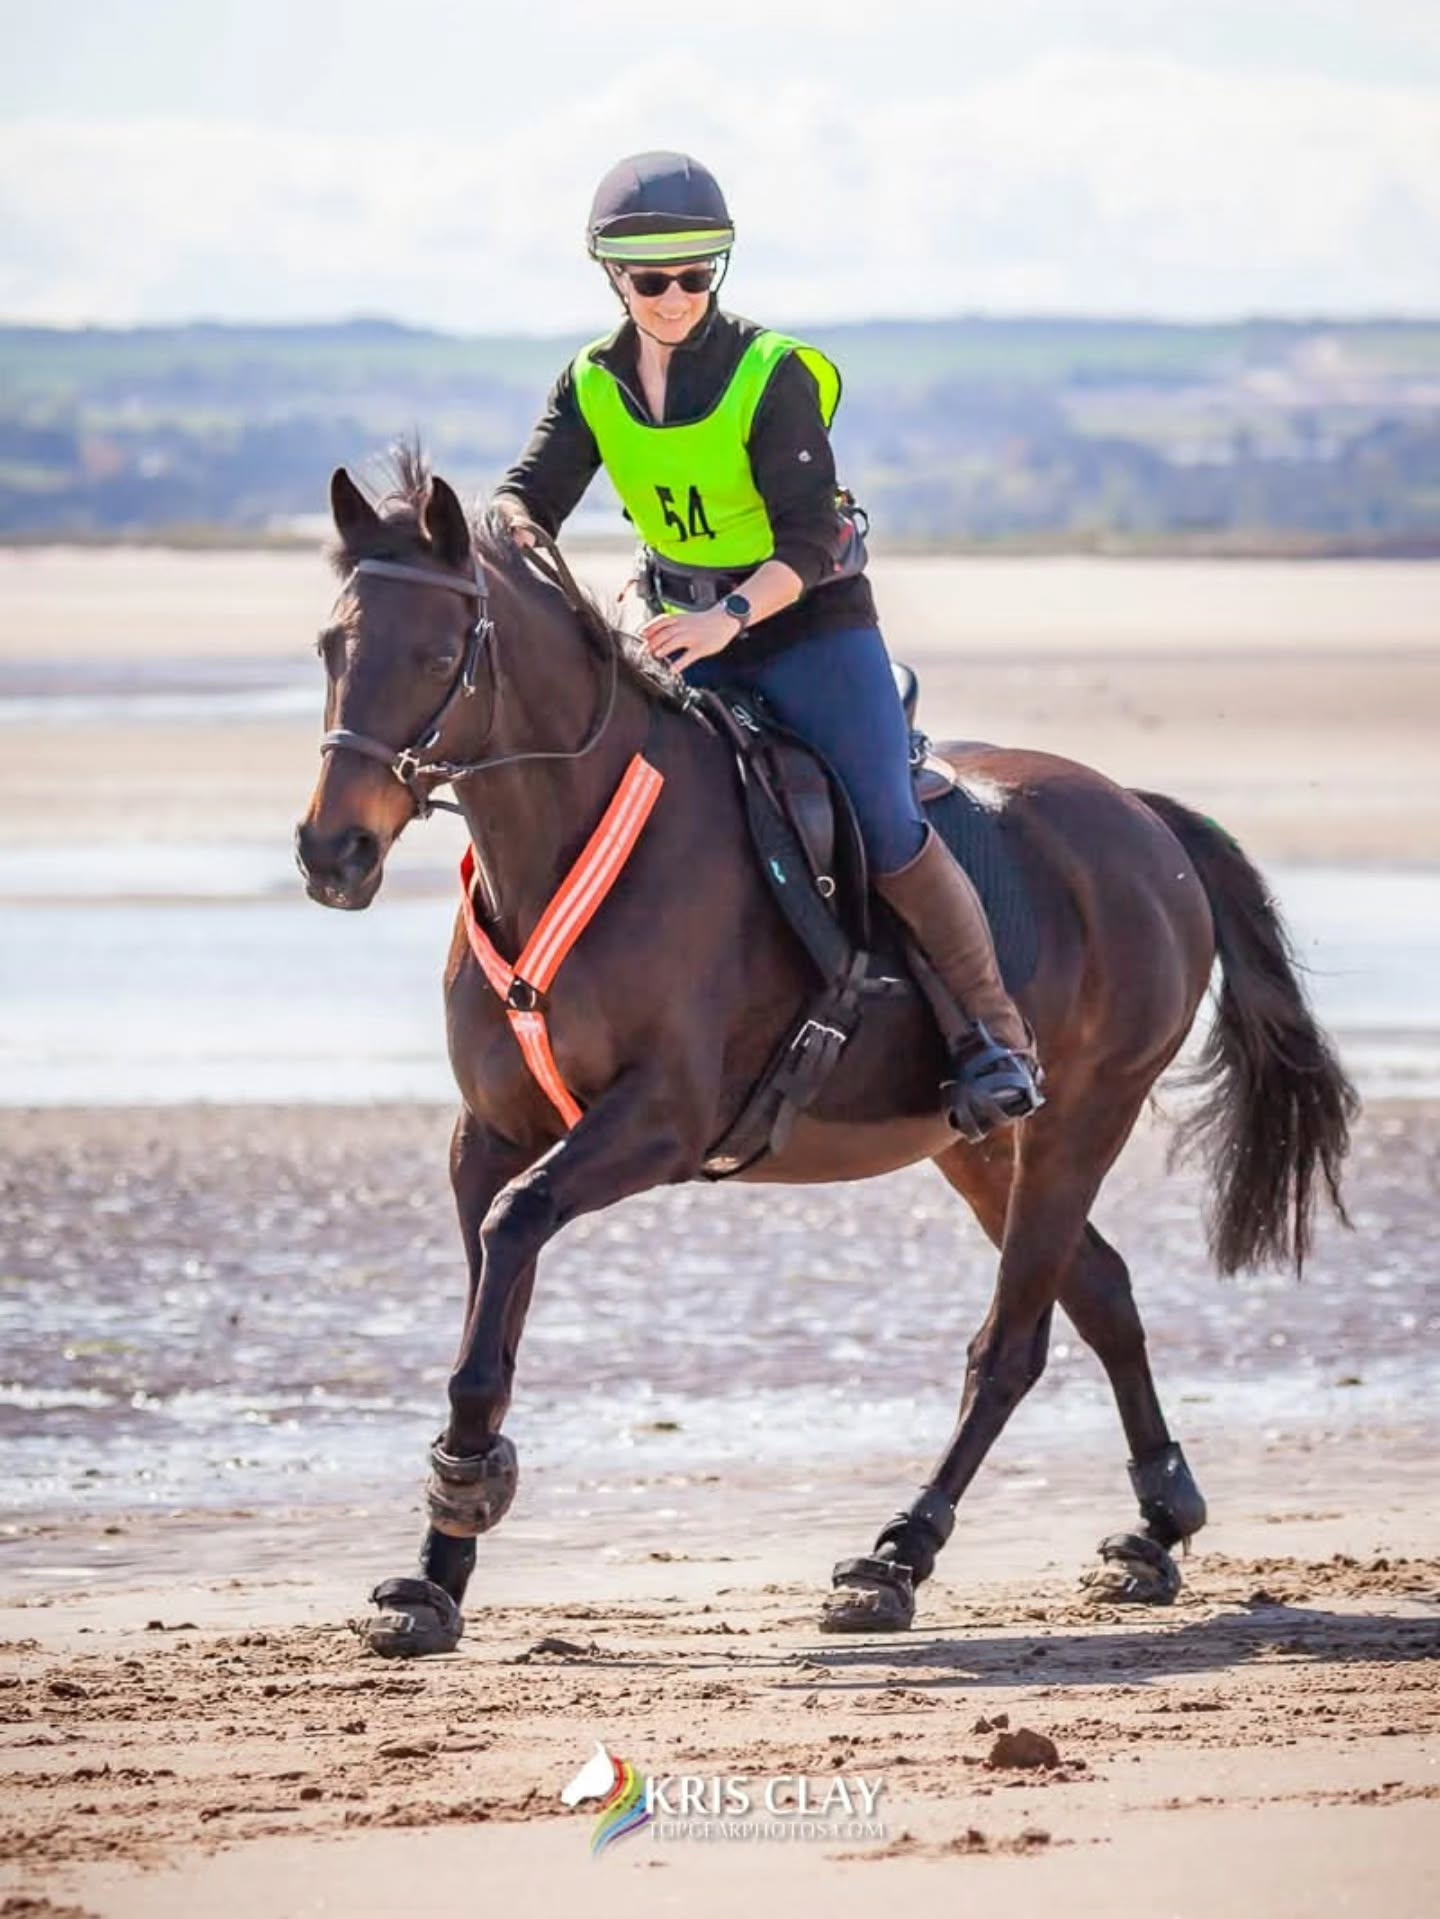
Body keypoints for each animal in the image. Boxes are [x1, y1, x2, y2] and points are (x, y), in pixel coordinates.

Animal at [294, 451, 1356, 1657]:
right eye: (330, 647)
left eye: (438, 656)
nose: (333, 852)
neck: (567, 838)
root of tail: (1143, 816)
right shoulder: (490, 1134)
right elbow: (493, 1306)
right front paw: (435, 1571)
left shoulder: (657, 1120)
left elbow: (515, 1239)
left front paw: (466, 1479)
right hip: (975, 1144)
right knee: (1101, 1291)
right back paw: (1155, 1526)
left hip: (1085, 1115)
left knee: (1014, 1340)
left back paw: (898, 1554)